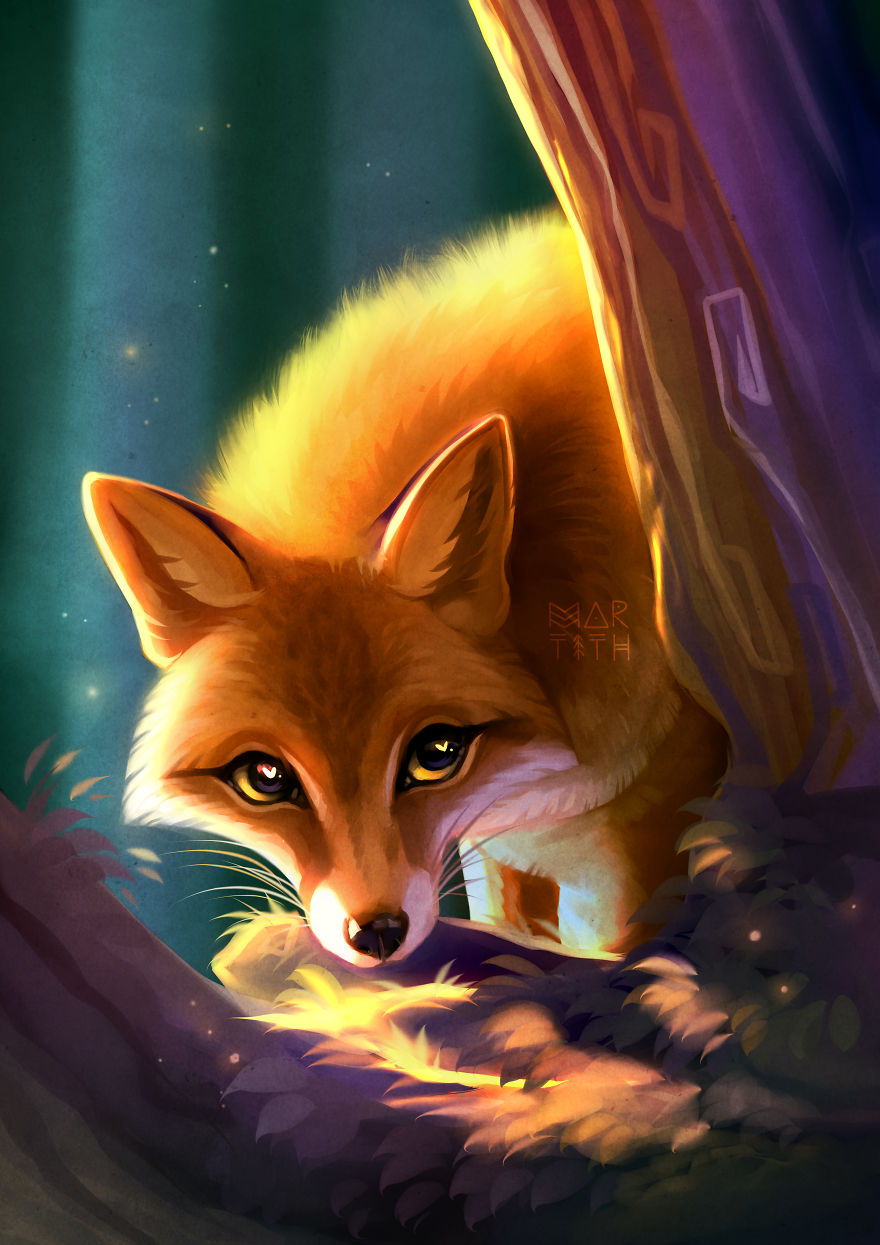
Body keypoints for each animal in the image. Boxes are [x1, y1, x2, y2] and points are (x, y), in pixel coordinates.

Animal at [83, 213, 728, 969]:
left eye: (437, 752)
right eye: (265, 778)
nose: (378, 933)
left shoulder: (637, 860)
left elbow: (611, 963)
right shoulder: (496, 849)